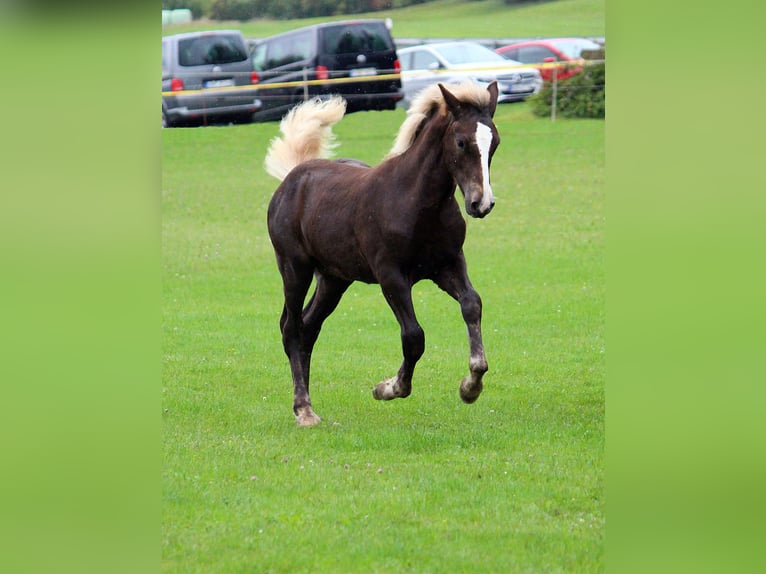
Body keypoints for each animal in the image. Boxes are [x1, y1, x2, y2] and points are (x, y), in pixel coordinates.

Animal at [265, 80, 500, 426]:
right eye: (460, 142)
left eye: (494, 142)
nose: (481, 203)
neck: (417, 203)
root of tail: (293, 177)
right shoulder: (391, 276)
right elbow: (414, 336)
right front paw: (388, 388)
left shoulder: (448, 265)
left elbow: (472, 305)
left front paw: (471, 386)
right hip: (295, 268)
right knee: (291, 328)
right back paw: (303, 409)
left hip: (334, 279)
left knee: (309, 327)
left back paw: (306, 403)